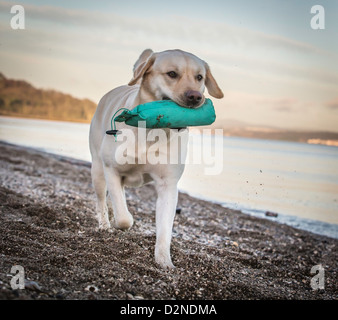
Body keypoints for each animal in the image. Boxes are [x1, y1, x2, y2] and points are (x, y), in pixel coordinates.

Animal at [88, 48, 223, 268]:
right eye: (172, 74)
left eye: (199, 77)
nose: (195, 97)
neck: (152, 131)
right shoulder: (112, 169)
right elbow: (123, 218)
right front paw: (124, 221)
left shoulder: (168, 185)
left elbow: (165, 230)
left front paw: (164, 261)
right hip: (98, 171)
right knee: (101, 201)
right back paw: (105, 225)